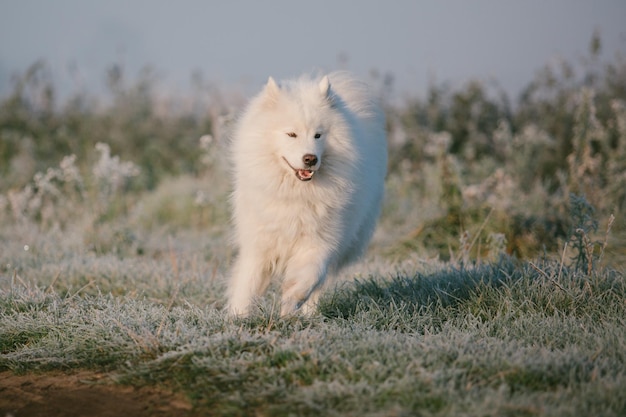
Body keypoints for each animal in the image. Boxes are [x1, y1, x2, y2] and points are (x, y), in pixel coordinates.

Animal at [228, 72, 386, 316]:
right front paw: (237, 318)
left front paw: (288, 306)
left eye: (318, 135)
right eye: (291, 134)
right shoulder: (259, 245)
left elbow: (307, 279)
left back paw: (309, 314)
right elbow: (247, 286)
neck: (296, 195)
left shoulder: (321, 242)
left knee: (320, 285)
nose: (310, 159)